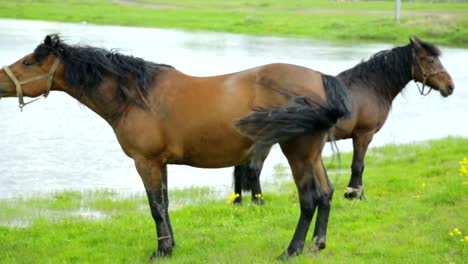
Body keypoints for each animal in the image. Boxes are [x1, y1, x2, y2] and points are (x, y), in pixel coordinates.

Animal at [0, 34, 352, 258]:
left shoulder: (146, 162)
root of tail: (321, 79)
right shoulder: (161, 163)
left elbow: (155, 207)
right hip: (313, 155)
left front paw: (161, 251)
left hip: (298, 153)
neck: (135, 97)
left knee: (309, 199)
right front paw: (170, 247)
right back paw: (317, 245)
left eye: (29, 62)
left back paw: (290, 251)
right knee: (326, 194)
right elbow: (165, 204)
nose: (0, 79)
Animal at [233, 36, 454, 204]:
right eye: (430, 60)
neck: (369, 87)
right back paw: (259, 202)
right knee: (254, 169)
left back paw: (241, 202)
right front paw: (354, 194)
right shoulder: (364, 135)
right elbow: (358, 165)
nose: (450, 87)